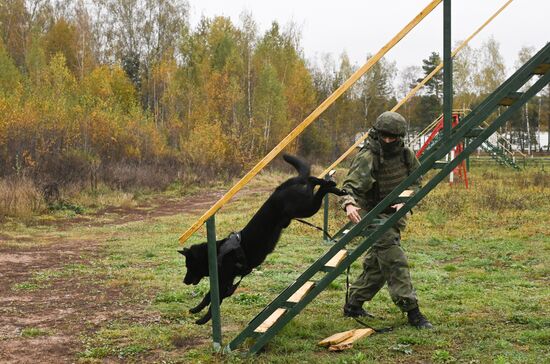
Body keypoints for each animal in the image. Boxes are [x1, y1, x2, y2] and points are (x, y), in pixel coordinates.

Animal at [179, 154, 348, 324]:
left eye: (189, 265)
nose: (184, 281)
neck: (216, 253)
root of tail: (281, 188)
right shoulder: (227, 281)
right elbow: (211, 297)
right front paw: (197, 311)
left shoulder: (225, 280)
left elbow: (213, 299)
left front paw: (203, 318)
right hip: (306, 206)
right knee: (314, 184)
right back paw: (336, 189)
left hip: (306, 208)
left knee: (314, 182)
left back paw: (329, 184)